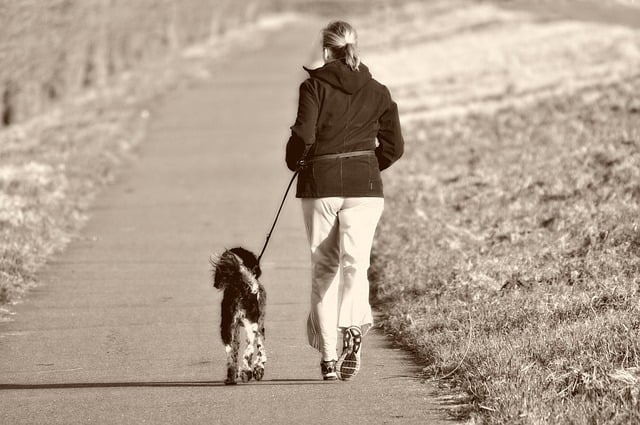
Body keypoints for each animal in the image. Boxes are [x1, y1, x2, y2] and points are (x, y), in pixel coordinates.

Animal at [210, 247, 264, 382]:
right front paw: (258, 369)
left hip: (227, 326)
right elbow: (260, 348)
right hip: (252, 325)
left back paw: (231, 376)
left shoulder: (235, 328)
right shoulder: (260, 323)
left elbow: (235, 350)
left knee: (230, 353)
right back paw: (246, 372)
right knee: (249, 348)